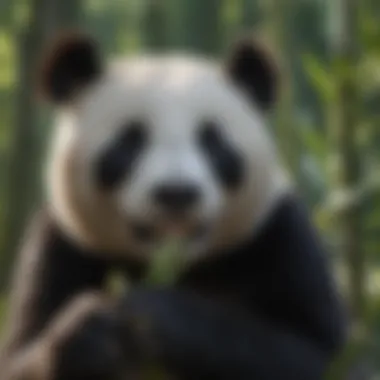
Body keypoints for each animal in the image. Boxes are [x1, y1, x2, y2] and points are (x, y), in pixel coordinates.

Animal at [0, 31, 346, 378]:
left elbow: (315, 354)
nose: (176, 193)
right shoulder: (60, 247)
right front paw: (88, 332)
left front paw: (157, 314)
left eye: (212, 140)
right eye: (130, 140)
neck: (176, 265)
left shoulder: (280, 237)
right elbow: (19, 354)